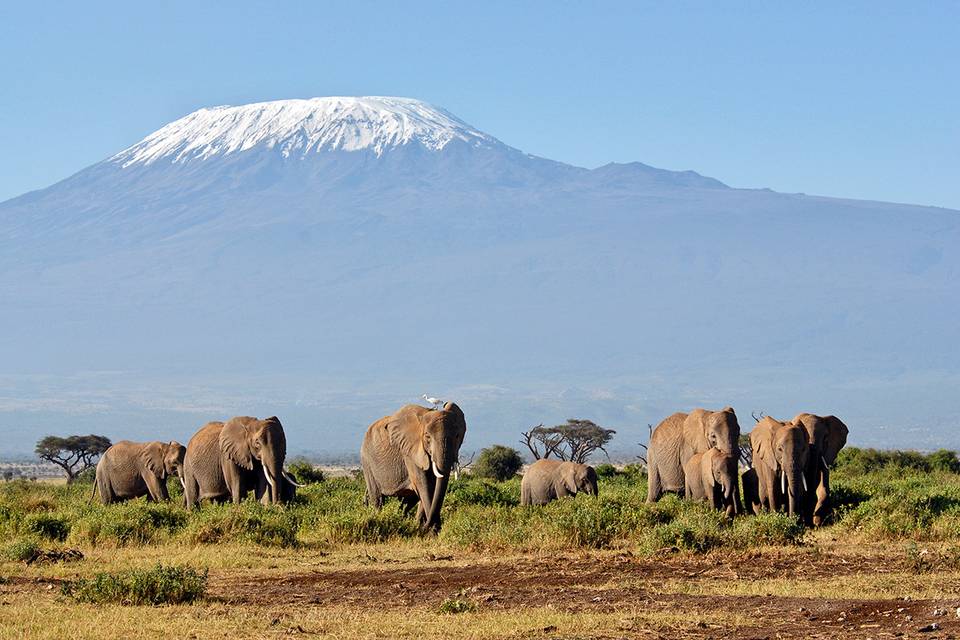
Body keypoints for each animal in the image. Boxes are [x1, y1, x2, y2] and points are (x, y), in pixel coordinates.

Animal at [360, 402, 464, 532]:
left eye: (457, 436)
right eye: (427, 437)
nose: (428, 525)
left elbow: (430, 486)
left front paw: (424, 528)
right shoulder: (410, 453)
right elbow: (424, 486)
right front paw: (432, 530)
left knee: (407, 501)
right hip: (367, 461)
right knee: (377, 499)